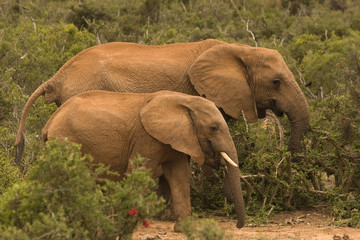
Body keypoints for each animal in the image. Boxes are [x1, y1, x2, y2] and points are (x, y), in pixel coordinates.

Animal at [40, 90, 246, 231]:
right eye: (213, 128)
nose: (238, 225)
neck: (183, 100)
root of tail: (49, 123)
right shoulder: (146, 139)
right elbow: (138, 173)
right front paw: (132, 223)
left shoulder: (175, 140)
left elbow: (179, 176)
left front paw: (183, 228)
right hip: (66, 141)